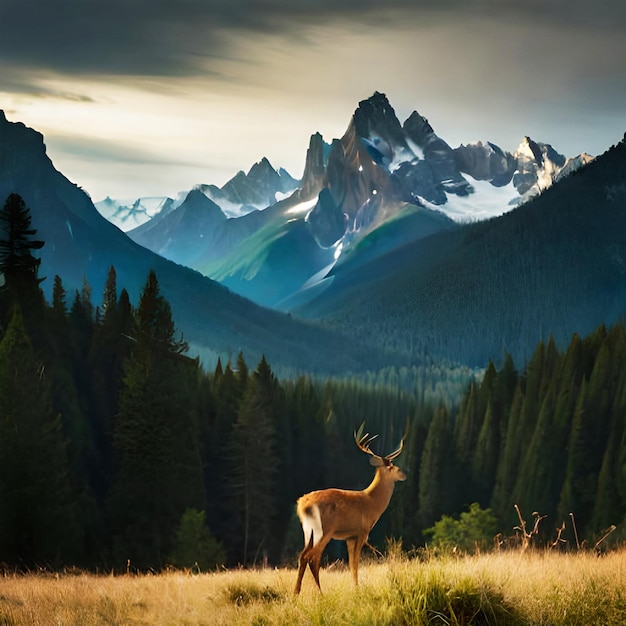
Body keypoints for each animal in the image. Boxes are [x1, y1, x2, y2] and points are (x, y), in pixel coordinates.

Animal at [292, 422, 404, 592]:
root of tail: (303, 504)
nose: (403, 474)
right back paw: (320, 592)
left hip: (307, 529)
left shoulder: (349, 537)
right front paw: (358, 590)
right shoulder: (362, 532)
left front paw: (355, 587)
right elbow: (355, 564)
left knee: (303, 556)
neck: (373, 502)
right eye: (392, 466)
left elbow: (351, 565)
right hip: (325, 529)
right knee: (312, 558)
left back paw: (296, 592)